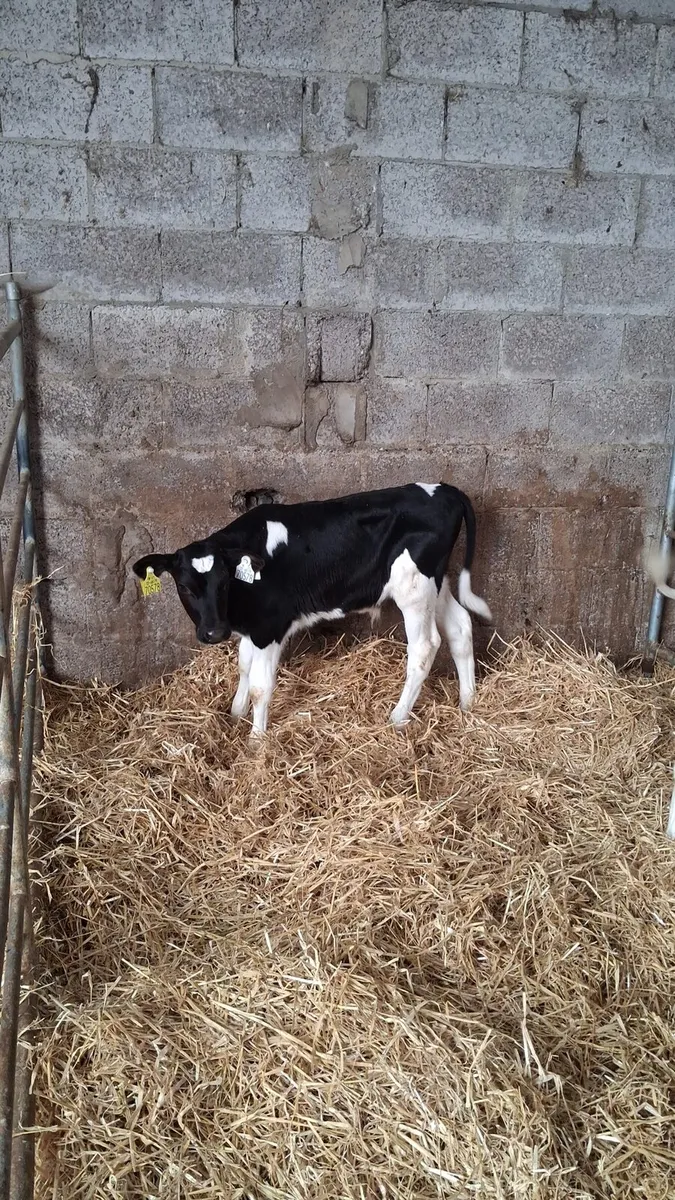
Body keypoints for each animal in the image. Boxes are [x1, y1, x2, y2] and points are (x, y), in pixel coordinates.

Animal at [133, 482, 492, 739]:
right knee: (460, 626)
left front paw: (256, 740)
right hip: (435, 582)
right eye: (184, 587)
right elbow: (244, 667)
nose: (214, 632)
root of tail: (446, 490)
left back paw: (397, 717)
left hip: (414, 588)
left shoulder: (271, 626)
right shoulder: (254, 626)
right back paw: (468, 704)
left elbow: (261, 685)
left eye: (223, 583)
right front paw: (235, 714)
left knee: (425, 646)